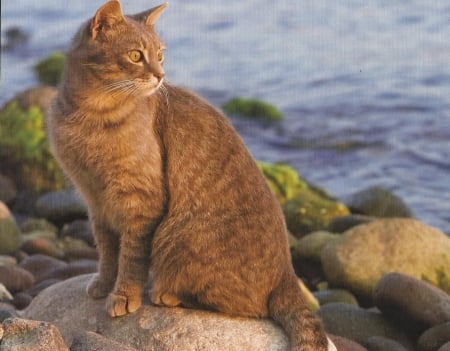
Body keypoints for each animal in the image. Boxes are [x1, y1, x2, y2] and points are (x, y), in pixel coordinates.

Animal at [47, 1, 336, 350]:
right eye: (135, 55)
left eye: (160, 55)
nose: (160, 75)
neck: (92, 115)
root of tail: (288, 275)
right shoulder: (96, 202)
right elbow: (107, 252)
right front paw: (104, 284)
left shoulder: (141, 203)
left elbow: (131, 257)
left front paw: (124, 295)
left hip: (175, 236)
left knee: (245, 307)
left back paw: (167, 294)